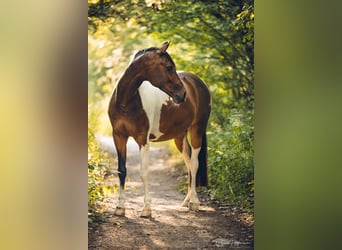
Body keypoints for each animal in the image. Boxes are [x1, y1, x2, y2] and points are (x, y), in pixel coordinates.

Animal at [108, 41, 211, 217]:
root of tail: (198, 83)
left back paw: (195, 203)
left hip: (197, 129)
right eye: (169, 67)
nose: (182, 94)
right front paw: (120, 208)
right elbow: (122, 171)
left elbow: (144, 173)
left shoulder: (142, 140)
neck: (126, 101)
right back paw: (187, 201)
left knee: (194, 163)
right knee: (188, 163)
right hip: (180, 137)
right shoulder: (119, 136)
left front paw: (146, 209)